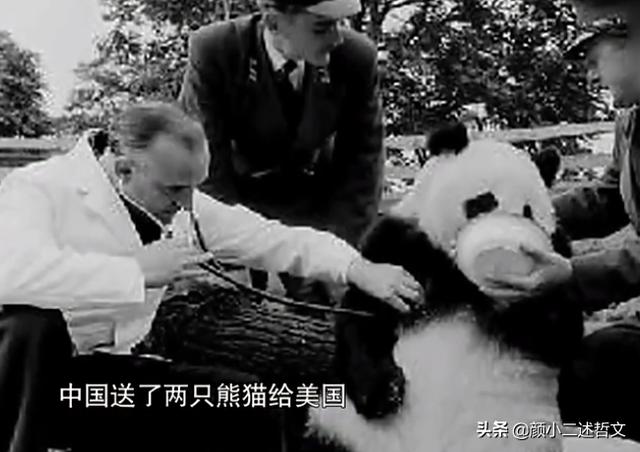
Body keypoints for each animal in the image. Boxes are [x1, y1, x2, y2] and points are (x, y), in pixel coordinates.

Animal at [302, 123, 640, 452]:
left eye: (528, 211)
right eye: (483, 201)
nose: (504, 240)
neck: (461, 277)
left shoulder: (556, 255)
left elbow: (558, 334)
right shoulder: (402, 245)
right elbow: (366, 309)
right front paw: (384, 393)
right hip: (340, 429)